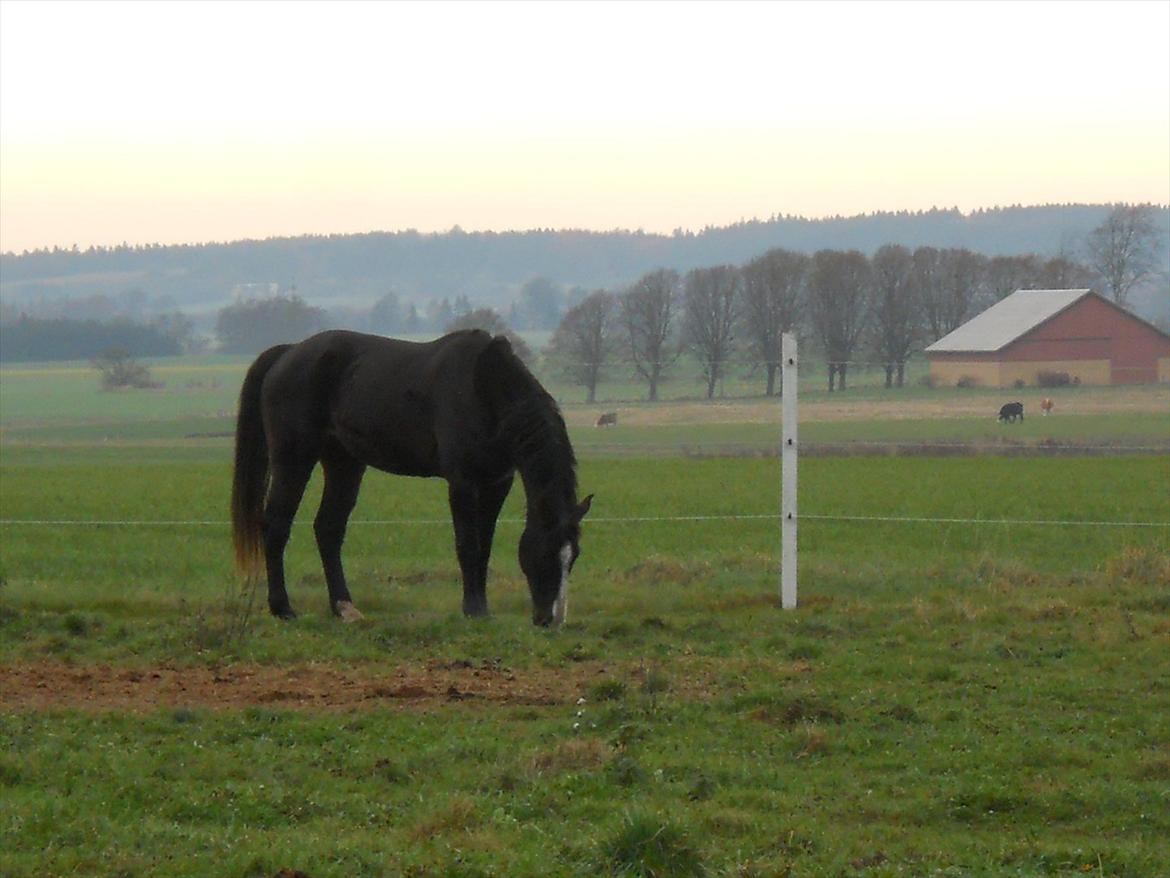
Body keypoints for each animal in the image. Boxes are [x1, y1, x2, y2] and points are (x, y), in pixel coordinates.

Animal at [230, 330, 594, 627]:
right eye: (545, 553)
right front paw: (473, 609)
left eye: (573, 556)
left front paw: (483, 608)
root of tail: (289, 353)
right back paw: (283, 609)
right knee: (276, 526)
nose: (551, 620)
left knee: (328, 529)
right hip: (294, 458)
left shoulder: (496, 483)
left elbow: (485, 545)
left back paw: (344, 607)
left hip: (344, 462)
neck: (484, 388)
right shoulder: (462, 481)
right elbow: (467, 544)